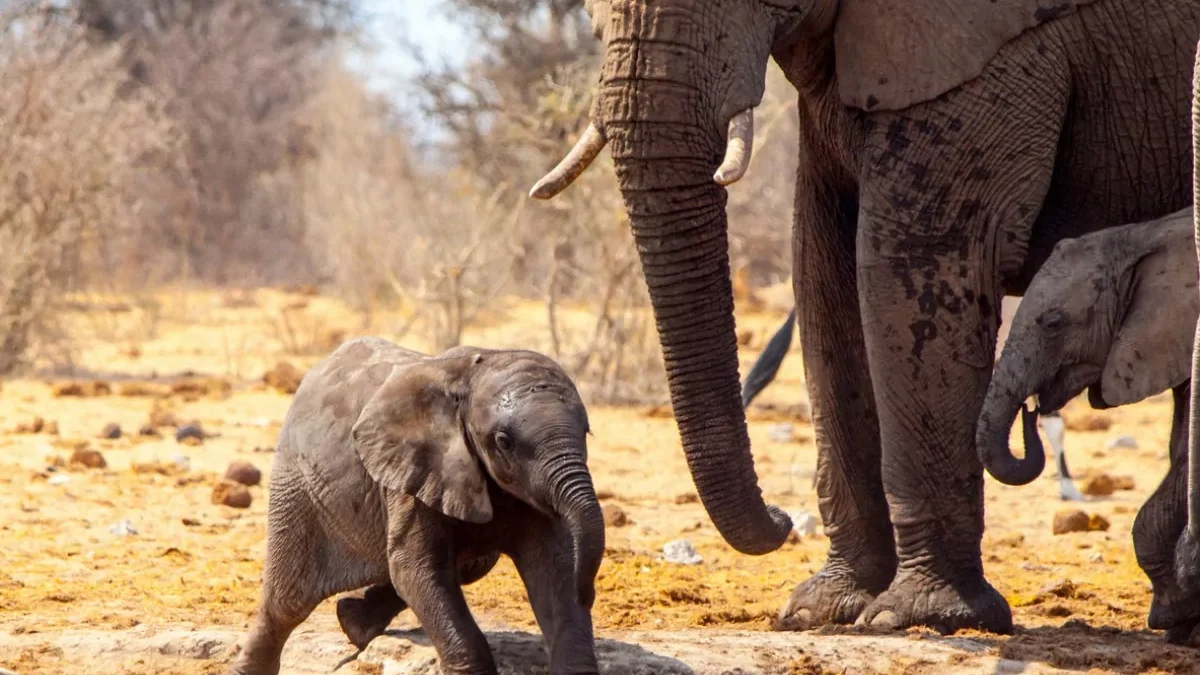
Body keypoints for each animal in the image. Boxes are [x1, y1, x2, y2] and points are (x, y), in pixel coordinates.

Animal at [225, 338, 605, 675]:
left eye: (587, 431)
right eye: (503, 442)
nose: (588, 594)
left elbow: (553, 567)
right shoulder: (411, 471)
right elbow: (417, 568)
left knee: (469, 565)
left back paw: (353, 622)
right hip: (299, 488)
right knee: (286, 602)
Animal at [975, 205, 1200, 641]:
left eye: (1053, 323)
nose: (1031, 408)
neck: (1143, 236)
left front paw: (1172, 615)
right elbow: (1181, 449)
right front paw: (1178, 619)